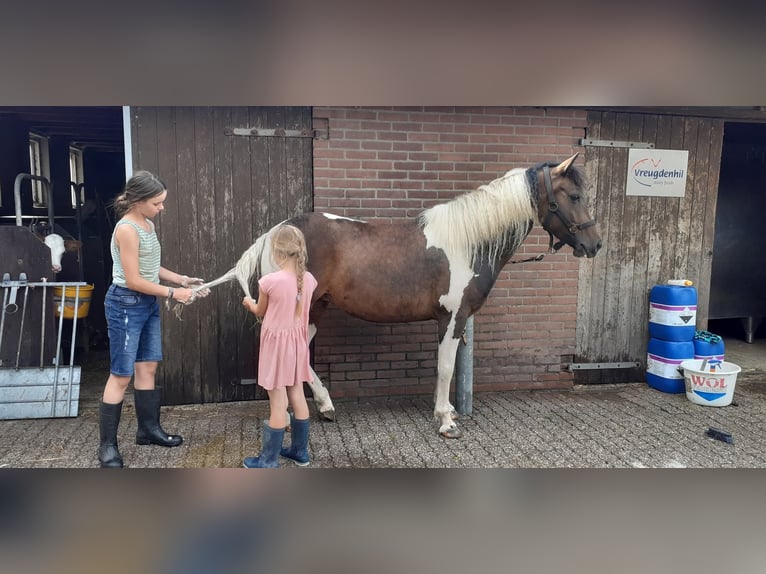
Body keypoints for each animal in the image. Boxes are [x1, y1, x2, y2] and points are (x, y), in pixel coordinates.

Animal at [192, 153, 602, 438]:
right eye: (574, 195)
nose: (594, 244)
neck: (467, 242)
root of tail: (276, 231)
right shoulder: (451, 318)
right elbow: (445, 367)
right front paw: (446, 420)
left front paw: (448, 411)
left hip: (315, 308)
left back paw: (323, 406)